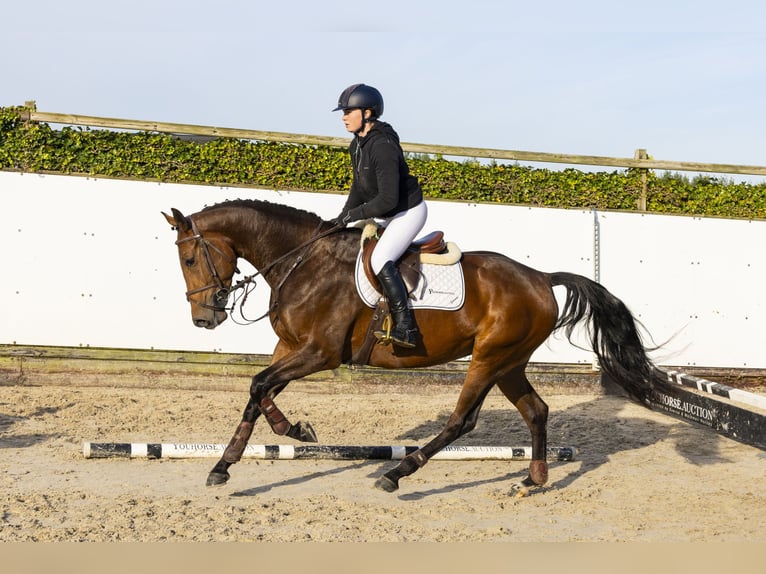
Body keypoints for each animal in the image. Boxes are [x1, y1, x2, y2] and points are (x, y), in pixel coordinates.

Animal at [164, 199, 664, 496]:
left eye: (189, 258)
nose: (204, 319)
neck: (303, 262)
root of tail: (540, 278)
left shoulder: (319, 353)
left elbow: (257, 385)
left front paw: (263, 446)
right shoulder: (289, 348)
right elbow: (260, 390)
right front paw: (269, 443)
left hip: (489, 358)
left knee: (462, 420)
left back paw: (397, 472)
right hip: (510, 362)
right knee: (536, 411)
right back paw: (532, 480)